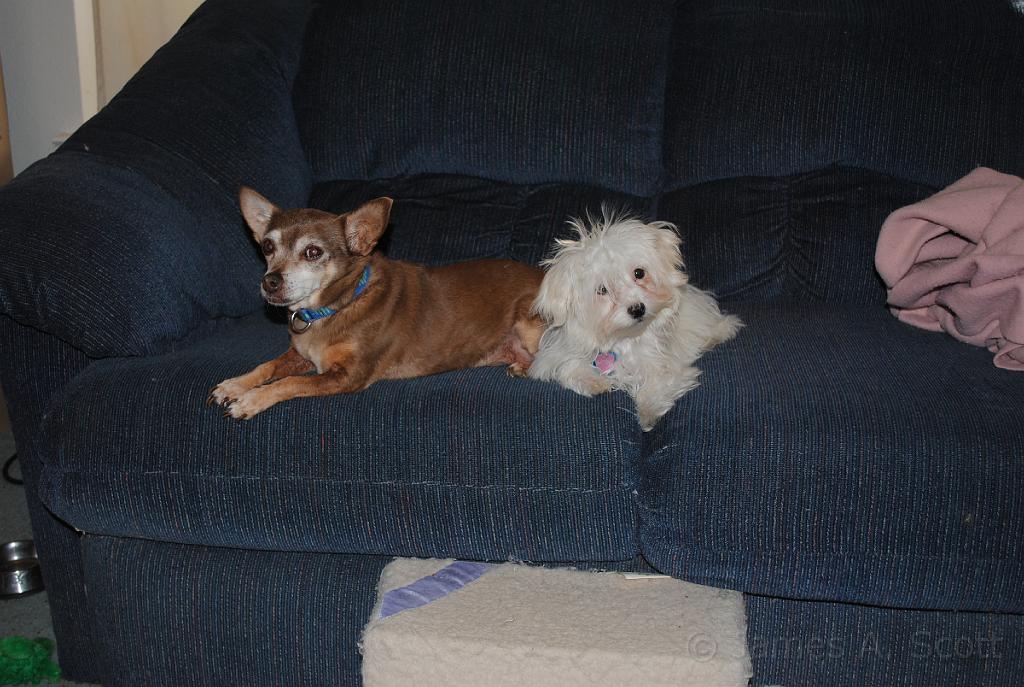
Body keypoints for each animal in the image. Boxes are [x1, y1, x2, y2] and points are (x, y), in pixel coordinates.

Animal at [205, 185, 544, 419]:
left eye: (313, 252)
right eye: (267, 246)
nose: (269, 281)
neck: (337, 305)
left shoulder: (347, 375)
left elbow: (288, 383)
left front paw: (250, 401)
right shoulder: (300, 355)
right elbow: (268, 366)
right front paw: (235, 385)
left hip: (529, 323)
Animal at [532, 211, 741, 432]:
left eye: (639, 273)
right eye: (602, 289)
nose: (637, 309)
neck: (622, 339)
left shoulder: (668, 365)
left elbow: (657, 383)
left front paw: (648, 412)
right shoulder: (553, 356)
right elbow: (568, 367)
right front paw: (594, 381)